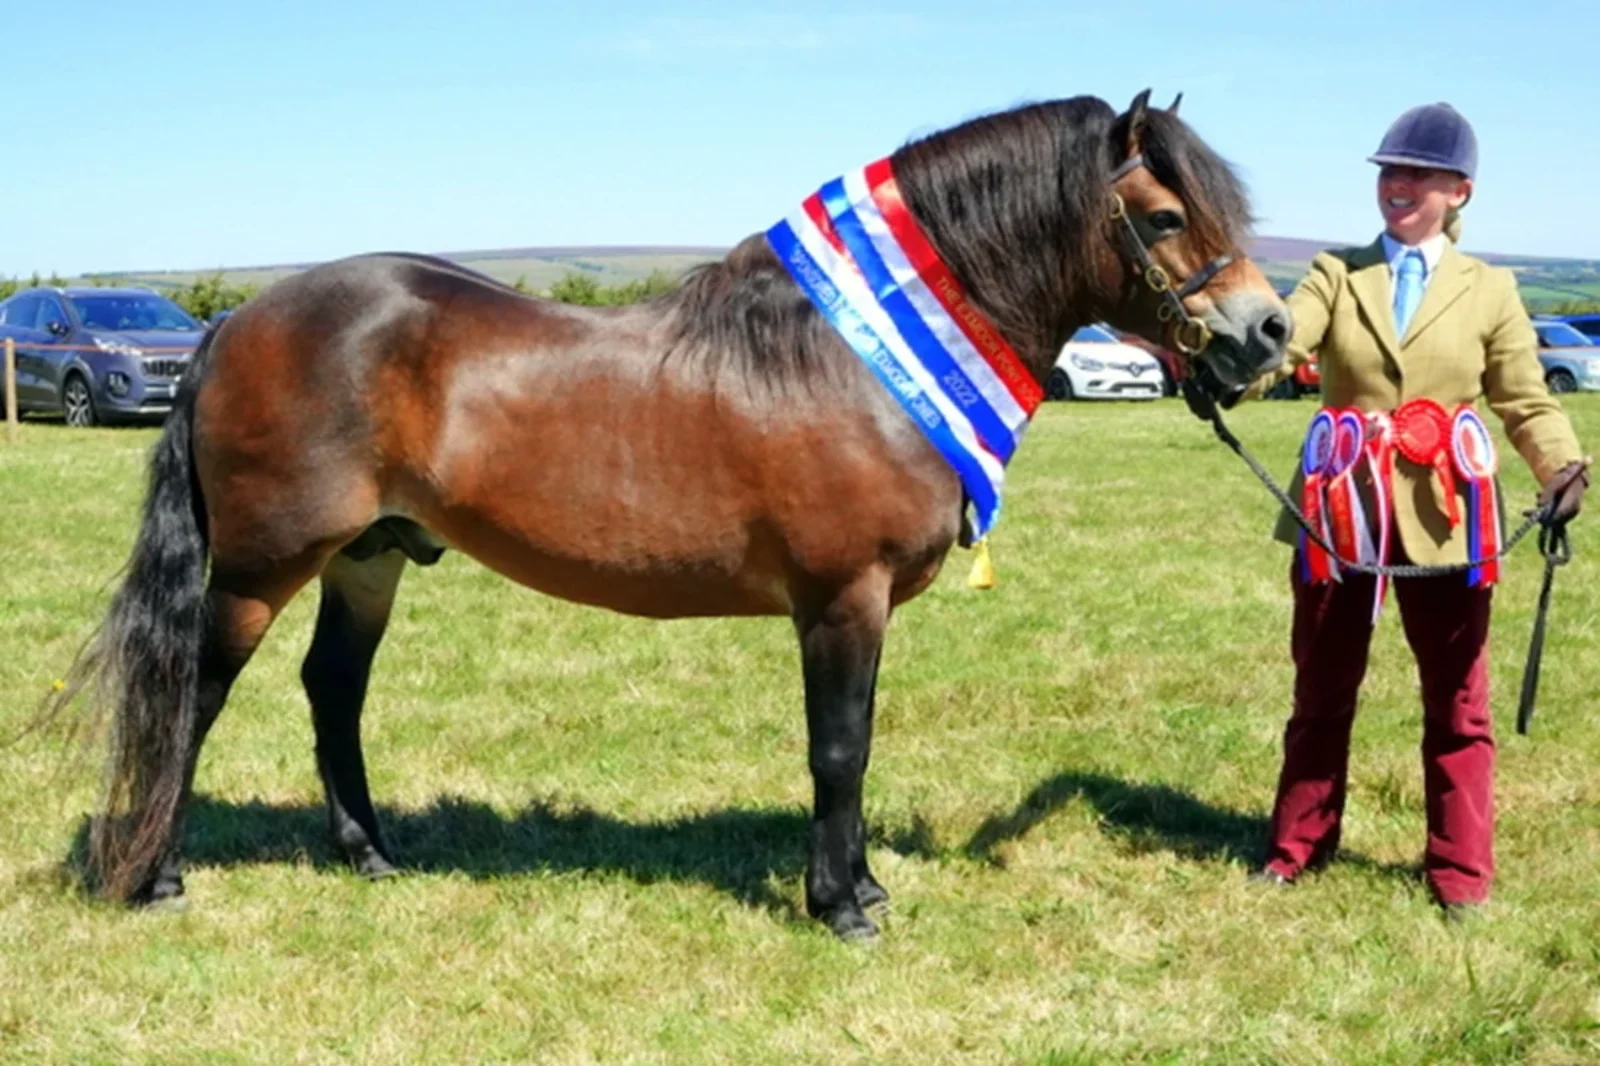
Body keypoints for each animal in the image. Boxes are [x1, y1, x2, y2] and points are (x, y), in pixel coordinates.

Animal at [47, 89, 1289, 940]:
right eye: (1163, 214)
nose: (1267, 333)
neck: (854, 360)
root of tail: (236, 321)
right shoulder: (840, 598)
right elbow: (839, 746)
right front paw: (839, 906)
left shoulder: (867, 605)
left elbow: (860, 741)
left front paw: (864, 882)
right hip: (263, 565)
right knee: (195, 692)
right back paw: (158, 875)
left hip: (369, 556)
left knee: (332, 690)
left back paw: (370, 854)